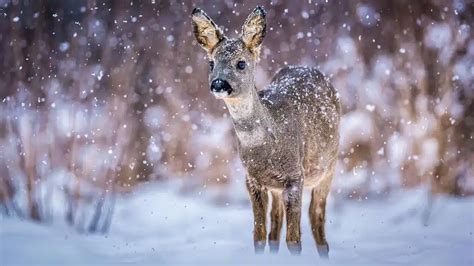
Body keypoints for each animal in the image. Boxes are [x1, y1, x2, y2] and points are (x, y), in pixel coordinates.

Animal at [191, 5, 338, 256]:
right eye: (211, 63)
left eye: (241, 63)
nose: (219, 84)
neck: (266, 148)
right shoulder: (253, 179)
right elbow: (259, 235)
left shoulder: (295, 176)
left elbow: (294, 240)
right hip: (279, 187)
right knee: (275, 225)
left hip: (329, 167)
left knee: (316, 218)